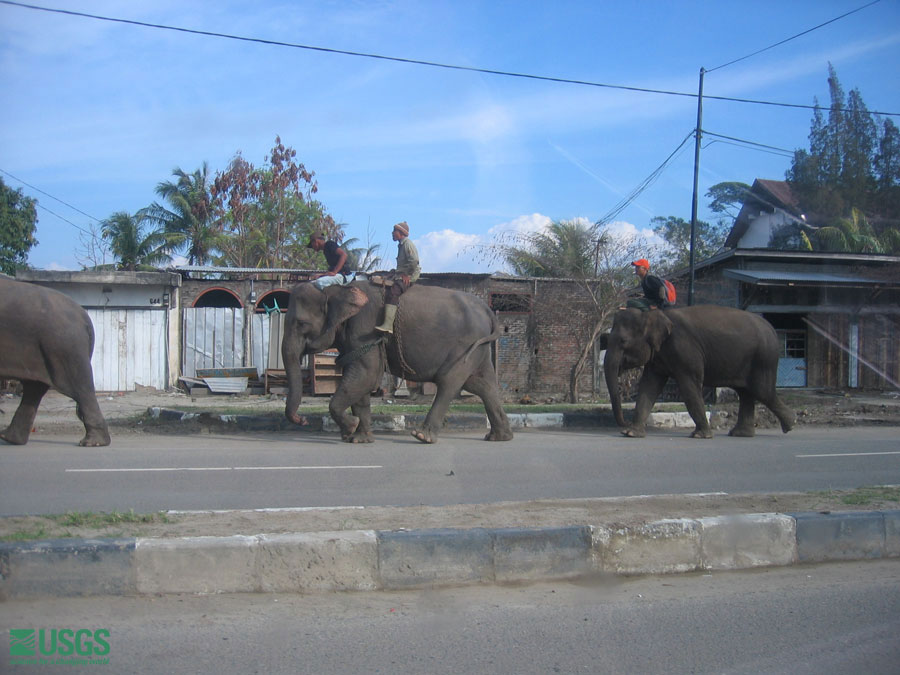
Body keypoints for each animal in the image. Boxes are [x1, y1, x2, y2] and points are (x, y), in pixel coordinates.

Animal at [0, 278, 111, 446]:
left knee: (79, 386)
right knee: (34, 388)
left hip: (63, 346)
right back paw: (8, 437)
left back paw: (91, 442)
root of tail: (84, 317)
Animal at [282, 280, 512, 444]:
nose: (302, 420)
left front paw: (350, 428)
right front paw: (358, 439)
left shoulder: (365, 329)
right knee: (482, 384)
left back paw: (422, 436)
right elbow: (360, 379)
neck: (336, 288)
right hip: (478, 347)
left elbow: (367, 374)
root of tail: (488, 310)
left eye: (301, 324)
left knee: (449, 381)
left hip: (465, 345)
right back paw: (499, 437)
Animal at [600, 304, 800, 438]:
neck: (652, 314)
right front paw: (631, 433)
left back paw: (791, 424)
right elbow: (649, 387)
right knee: (746, 392)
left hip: (763, 358)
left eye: (623, 341)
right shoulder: (658, 356)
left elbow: (689, 387)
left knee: (762, 391)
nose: (623, 424)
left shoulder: (685, 350)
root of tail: (772, 329)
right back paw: (741, 433)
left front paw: (700, 435)